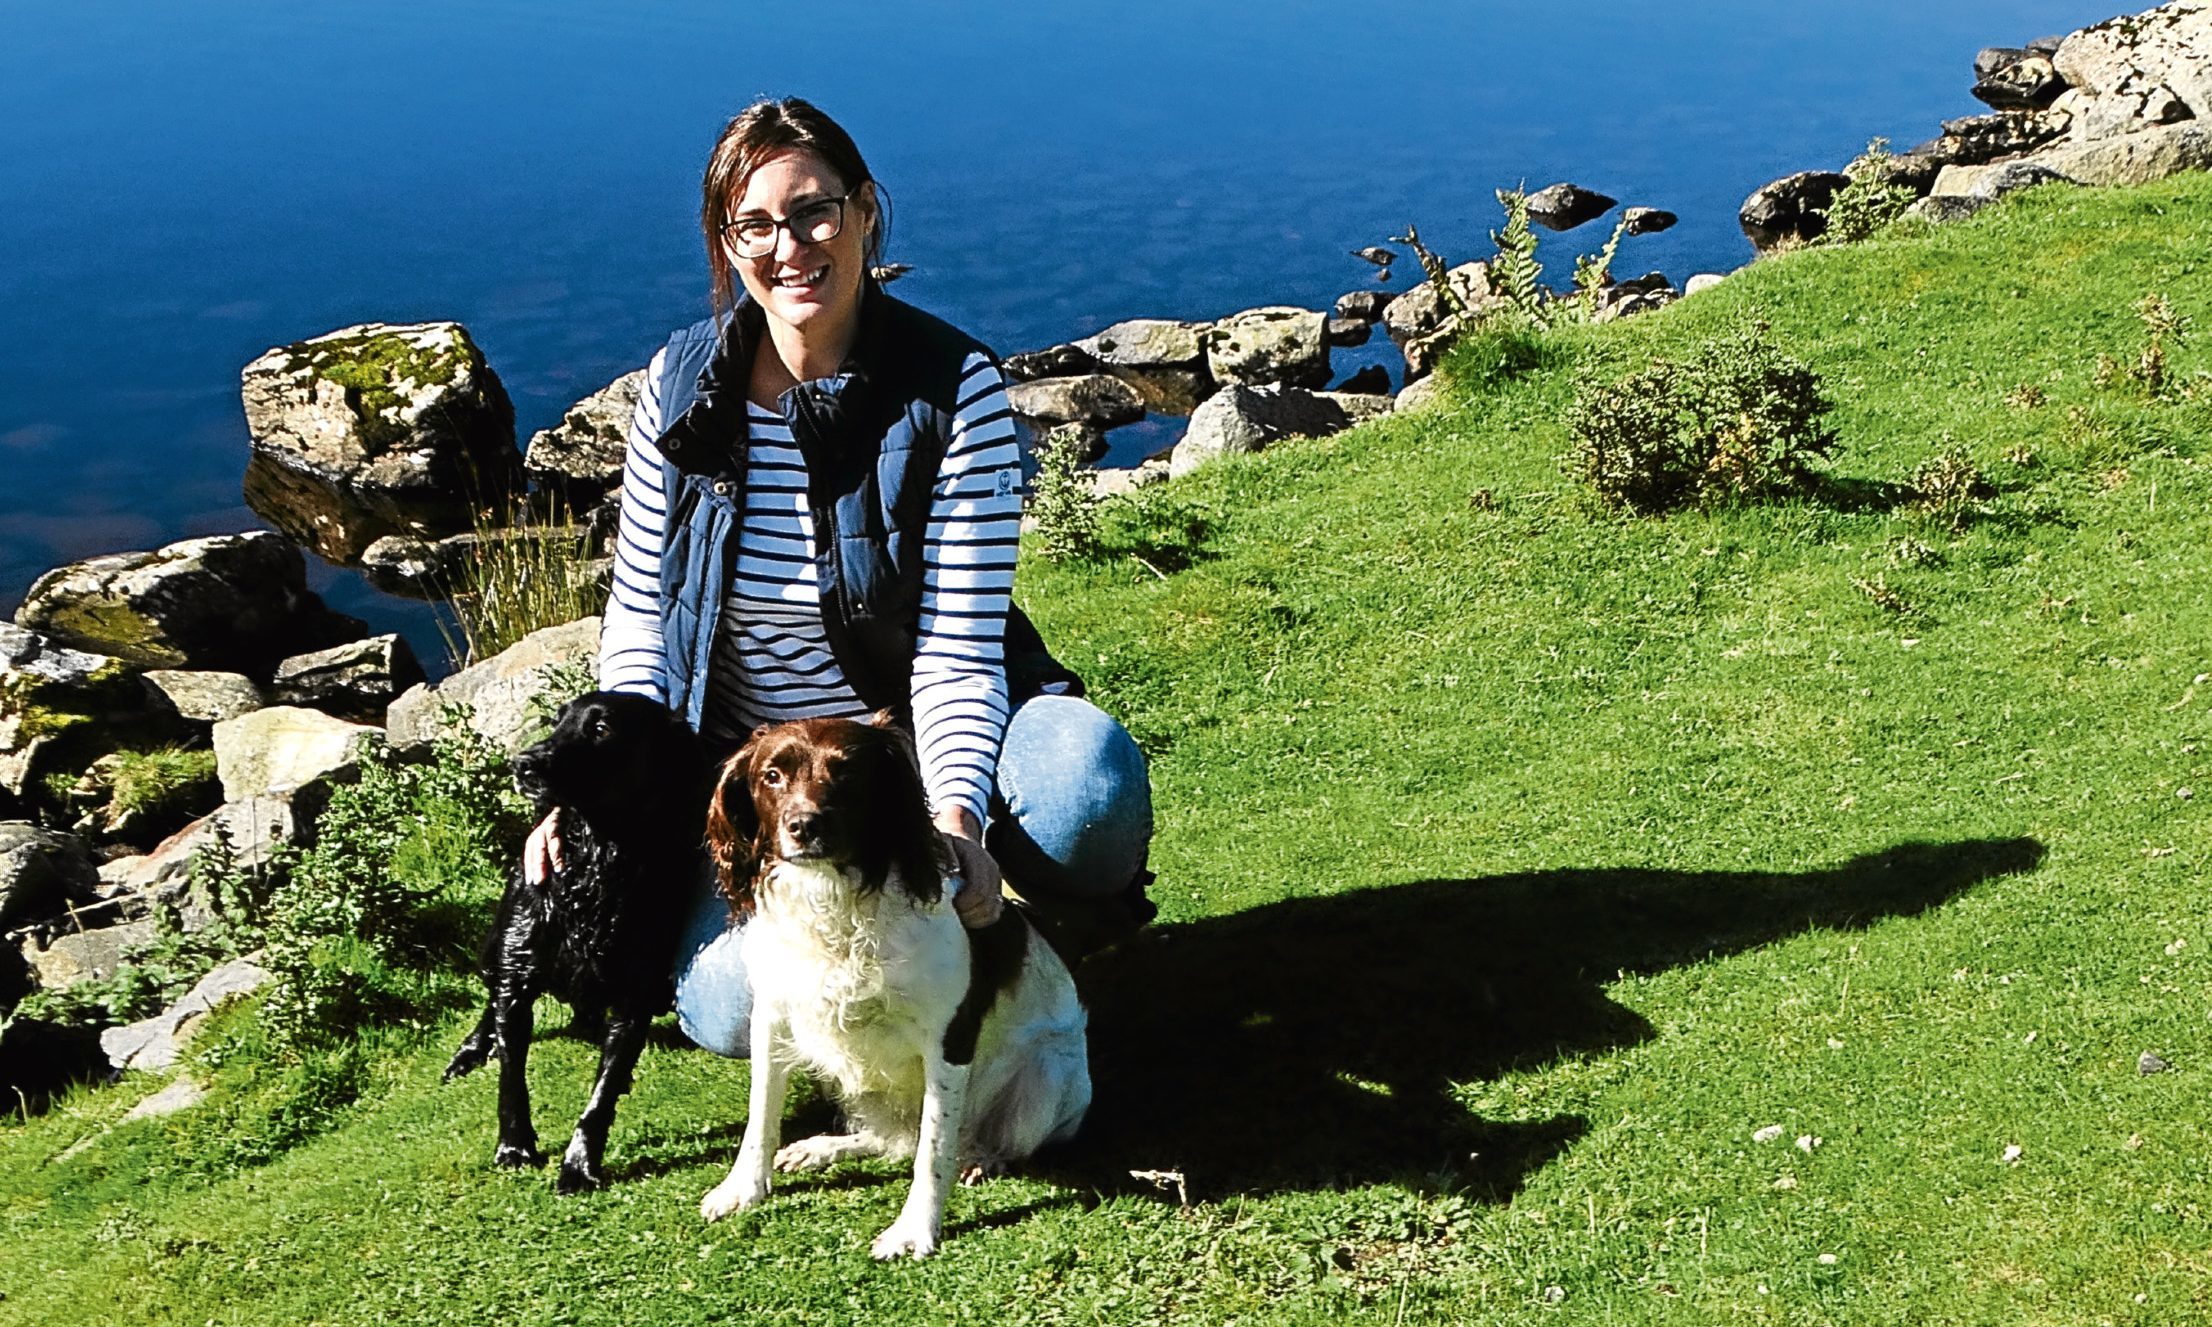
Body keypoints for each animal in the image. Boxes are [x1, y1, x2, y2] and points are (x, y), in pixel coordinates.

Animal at [437, 690, 698, 1194]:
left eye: (601, 729)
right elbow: (511, 1080)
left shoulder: (634, 999)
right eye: (557, 722)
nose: (522, 763)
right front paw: (515, 1146)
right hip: (493, 948)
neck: (597, 861)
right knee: (490, 998)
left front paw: (578, 1164)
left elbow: (602, 1093)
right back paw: (473, 1049)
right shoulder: (518, 976)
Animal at [694, 712, 1092, 1256]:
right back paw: (821, 1148)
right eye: (771, 776)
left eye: (847, 773)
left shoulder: (948, 1040)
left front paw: (914, 1230)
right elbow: (761, 1116)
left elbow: (933, 1148)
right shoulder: (772, 1017)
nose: (803, 826)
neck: (836, 898)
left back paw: (983, 1157)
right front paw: (742, 1189)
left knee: (980, 1140)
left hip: (1049, 1077)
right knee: (890, 1139)